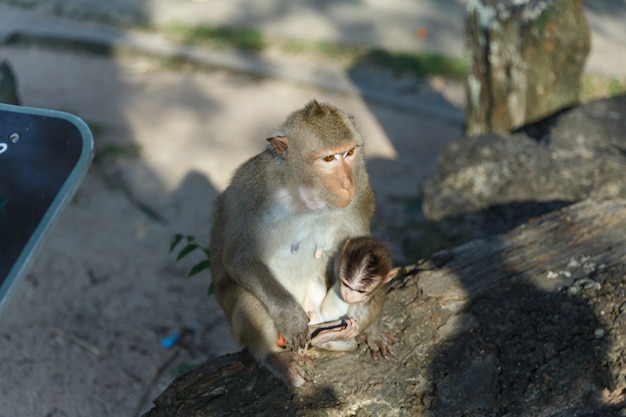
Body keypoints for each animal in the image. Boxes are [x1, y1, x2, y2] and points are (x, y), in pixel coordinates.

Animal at [210, 101, 376, 386]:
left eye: (350, 152)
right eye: (329, 159)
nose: (347, 184)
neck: (305, 196)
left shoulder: (362, 188)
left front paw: (374, 327)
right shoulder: (251, 189)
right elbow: (240, 258)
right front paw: (290, 316)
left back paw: (336, 337)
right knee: (246, 296)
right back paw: (275, 356)